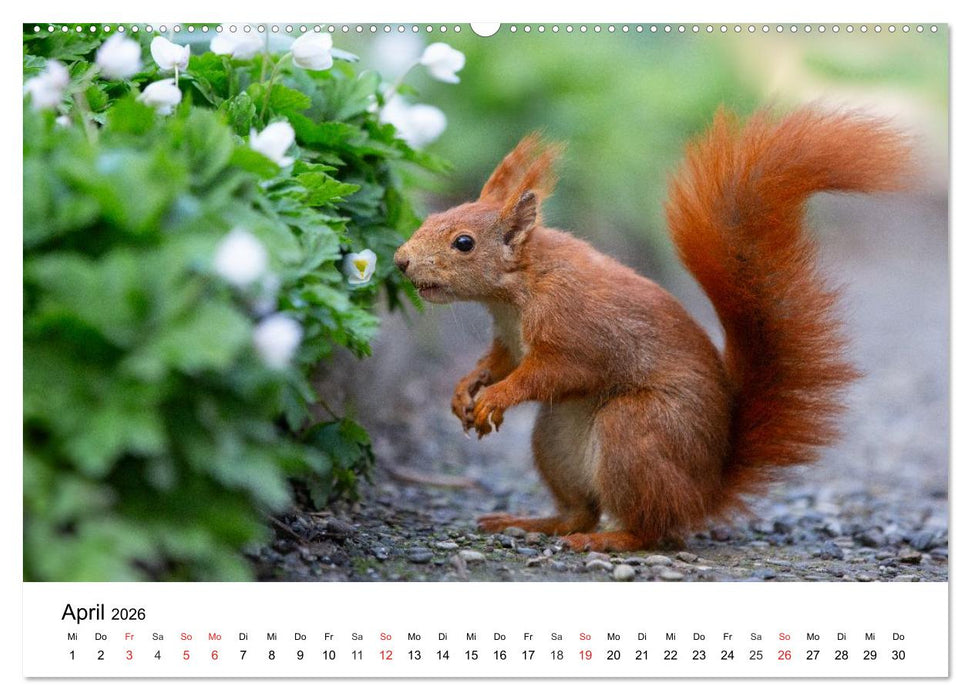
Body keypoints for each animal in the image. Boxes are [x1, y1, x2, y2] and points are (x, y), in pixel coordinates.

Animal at [393, 107, 909, 552]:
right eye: (432, 217)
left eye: (463, 243)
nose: (400, 261)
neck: (519, 289)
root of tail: (704, 491)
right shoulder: (508, 338)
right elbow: (498, 360)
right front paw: (465, 389)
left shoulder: (576, 330)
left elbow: (551, 372)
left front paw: (496, 397)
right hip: (555, 441)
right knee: (582, 511)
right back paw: (532, 522)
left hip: (636, 433)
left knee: (652, 528)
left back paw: (608, 540)